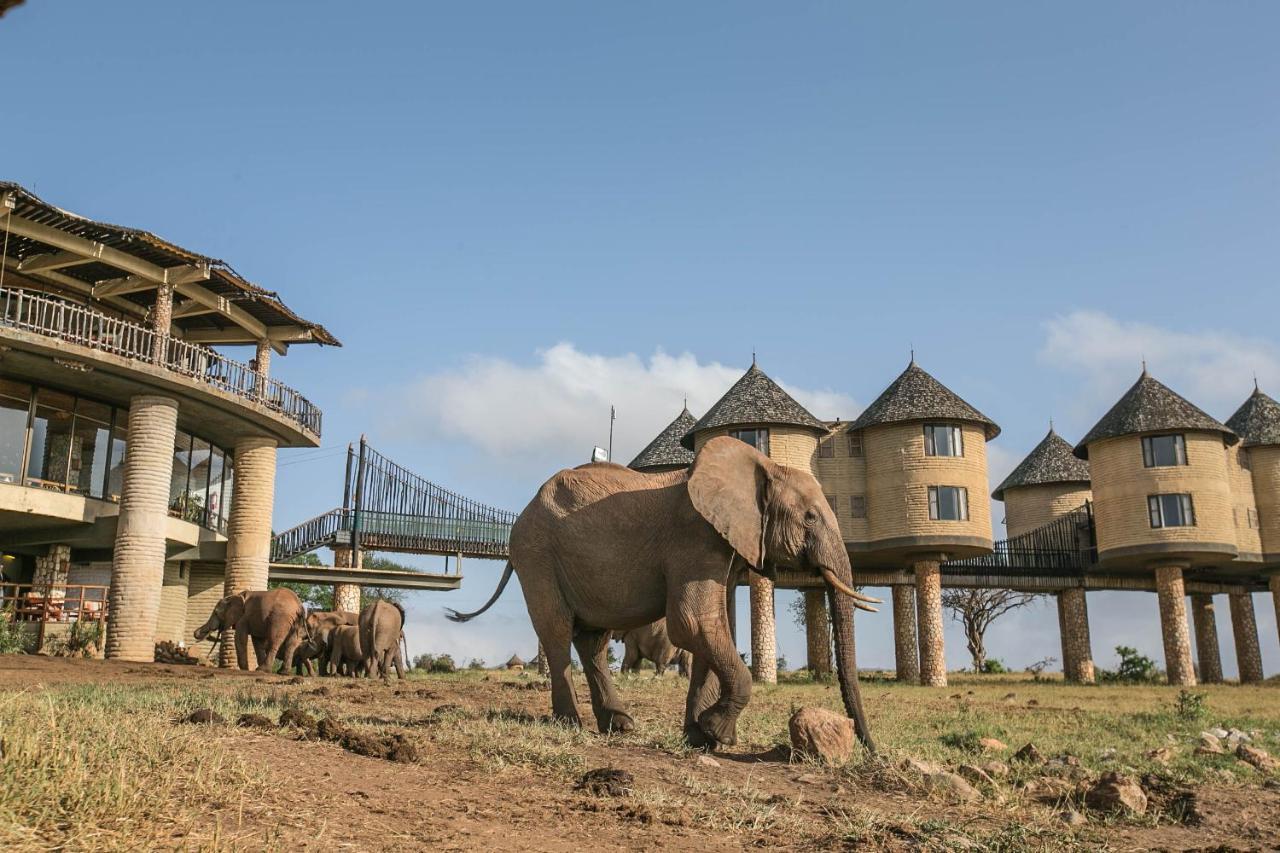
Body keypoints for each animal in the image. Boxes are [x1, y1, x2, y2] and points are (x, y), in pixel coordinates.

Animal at [450, 435, 880, 747]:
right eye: (810, 518)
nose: (869, 748)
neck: (763, 465)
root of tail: (522, 513)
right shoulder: (695, 539)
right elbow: (693, 623)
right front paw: (717, 734)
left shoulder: (724, 546)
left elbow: (713, 628)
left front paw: (701, 738)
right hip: (536, 555)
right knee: (556, 631)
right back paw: (571, 725)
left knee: (593, 641)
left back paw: (620, 725)